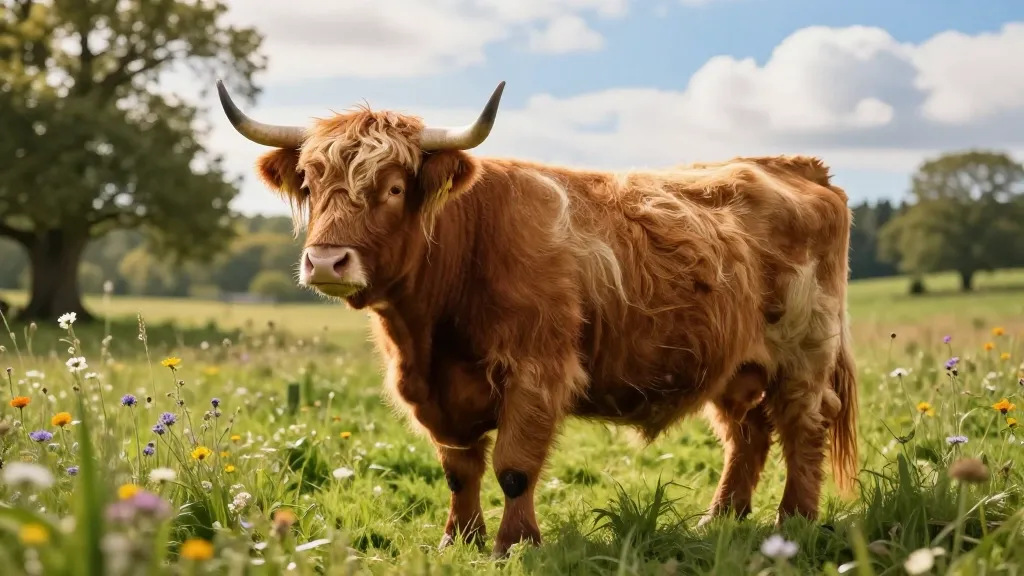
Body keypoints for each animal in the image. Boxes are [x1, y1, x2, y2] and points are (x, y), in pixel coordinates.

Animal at [216, 79, 859, 557]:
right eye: (310, 183)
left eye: (395, 188)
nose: (327, 260)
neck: (429, 332)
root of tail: (793, 165)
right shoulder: (436, 393)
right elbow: (460, 470)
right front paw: (459, 540)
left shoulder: (537, 371)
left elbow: (514, 466)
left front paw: (514, 544)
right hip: (734, 366)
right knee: (747, 433)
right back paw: (721, 520)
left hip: (804, 352)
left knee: (802, 425)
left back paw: (794, 522)